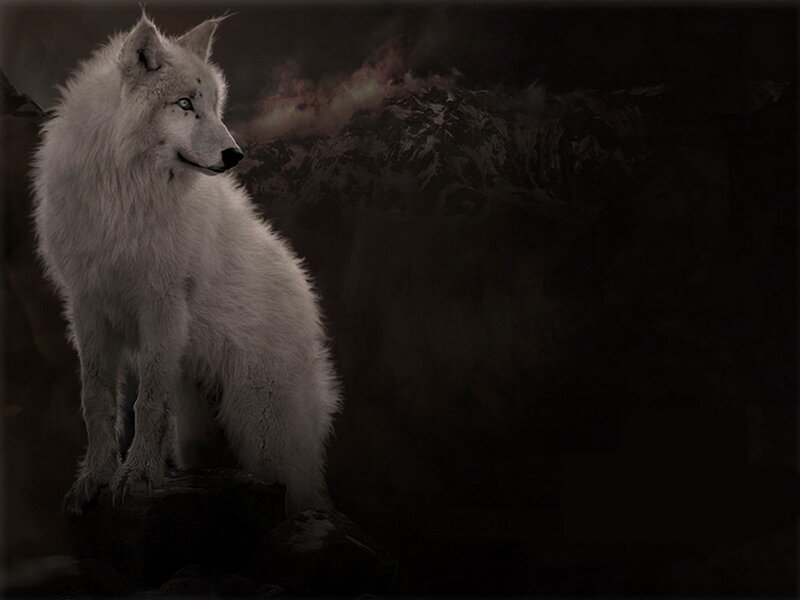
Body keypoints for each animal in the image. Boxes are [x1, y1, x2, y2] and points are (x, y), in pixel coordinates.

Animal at [31, 15, 341, 515]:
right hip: (200, 437)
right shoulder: (87, 307)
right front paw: (93, 480)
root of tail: (305, 290)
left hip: (263, 433)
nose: (235, 155)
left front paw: (137, 477)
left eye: (215, 107)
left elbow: (149, 403)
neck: (125, 194)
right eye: (184, 104)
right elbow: (97, 401)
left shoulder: (163, 305)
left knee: (303, 490)